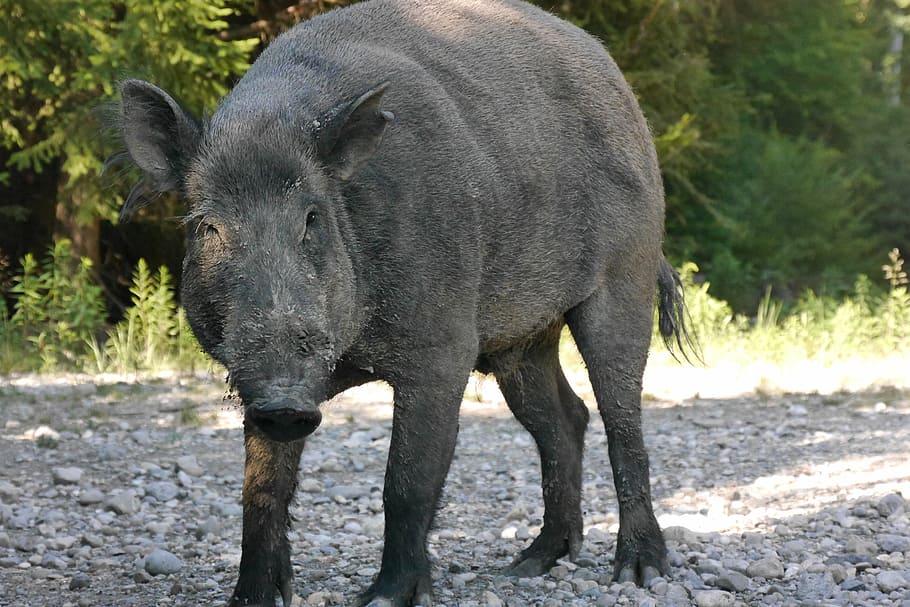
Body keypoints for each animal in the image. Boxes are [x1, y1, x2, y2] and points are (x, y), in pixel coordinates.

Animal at [114, 0, 694, 605]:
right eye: (208, 226)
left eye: (312, 218)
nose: (286, 401)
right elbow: (261, 488)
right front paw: (252, 598)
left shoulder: (444, 347)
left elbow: (407, 481)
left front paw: (384, 597)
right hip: (521, 339)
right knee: (565, 418)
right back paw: (527, 566)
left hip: (625, 276)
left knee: (622, 421)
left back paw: (638, 573)